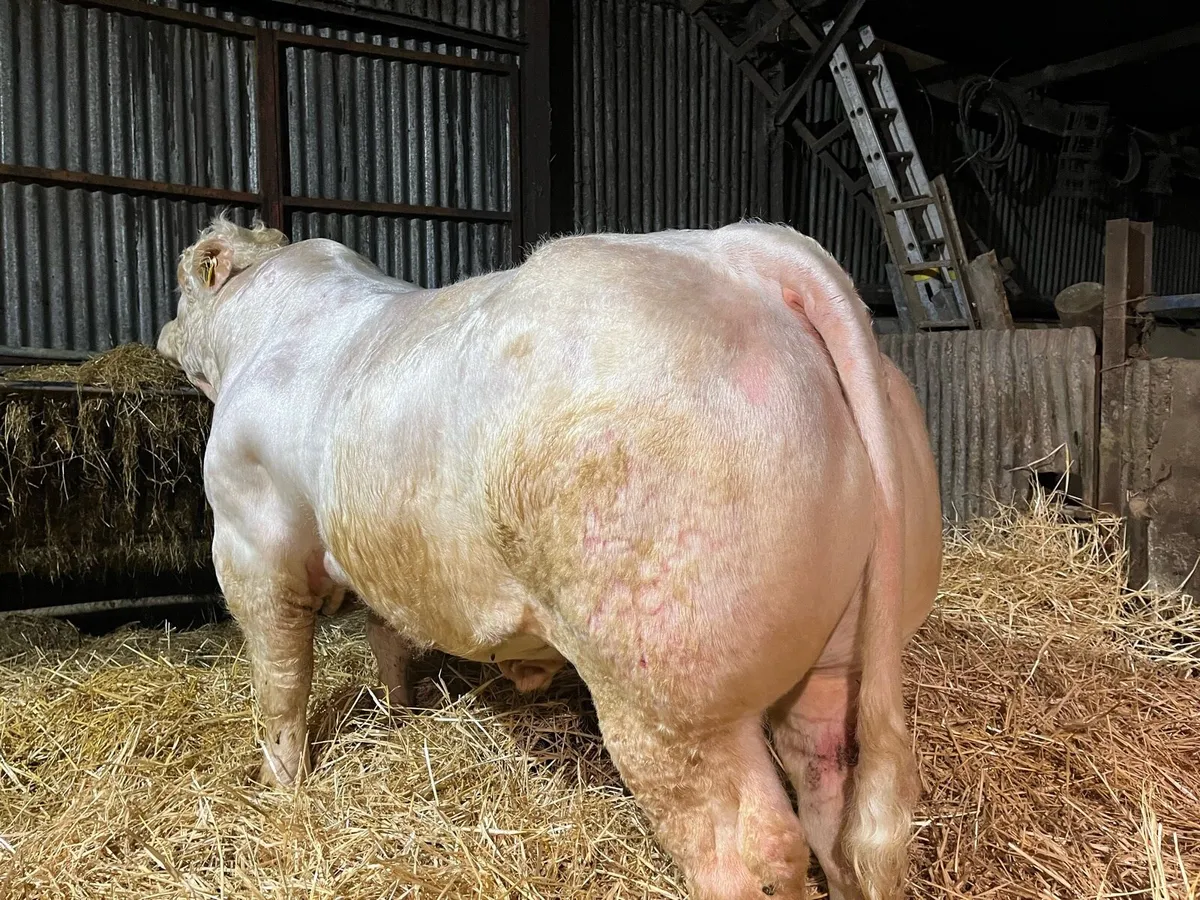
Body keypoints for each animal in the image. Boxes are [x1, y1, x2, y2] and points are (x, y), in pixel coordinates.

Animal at [157, 215, 941, 900]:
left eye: (185, 278)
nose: (161, 334)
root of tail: (749, 255)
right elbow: (390, 634)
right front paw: (403, 711)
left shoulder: (252, 545)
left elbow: (279, 681)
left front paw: (281, 784)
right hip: (838, 660)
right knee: (841, 809)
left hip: (669, 691)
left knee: (749, 849)